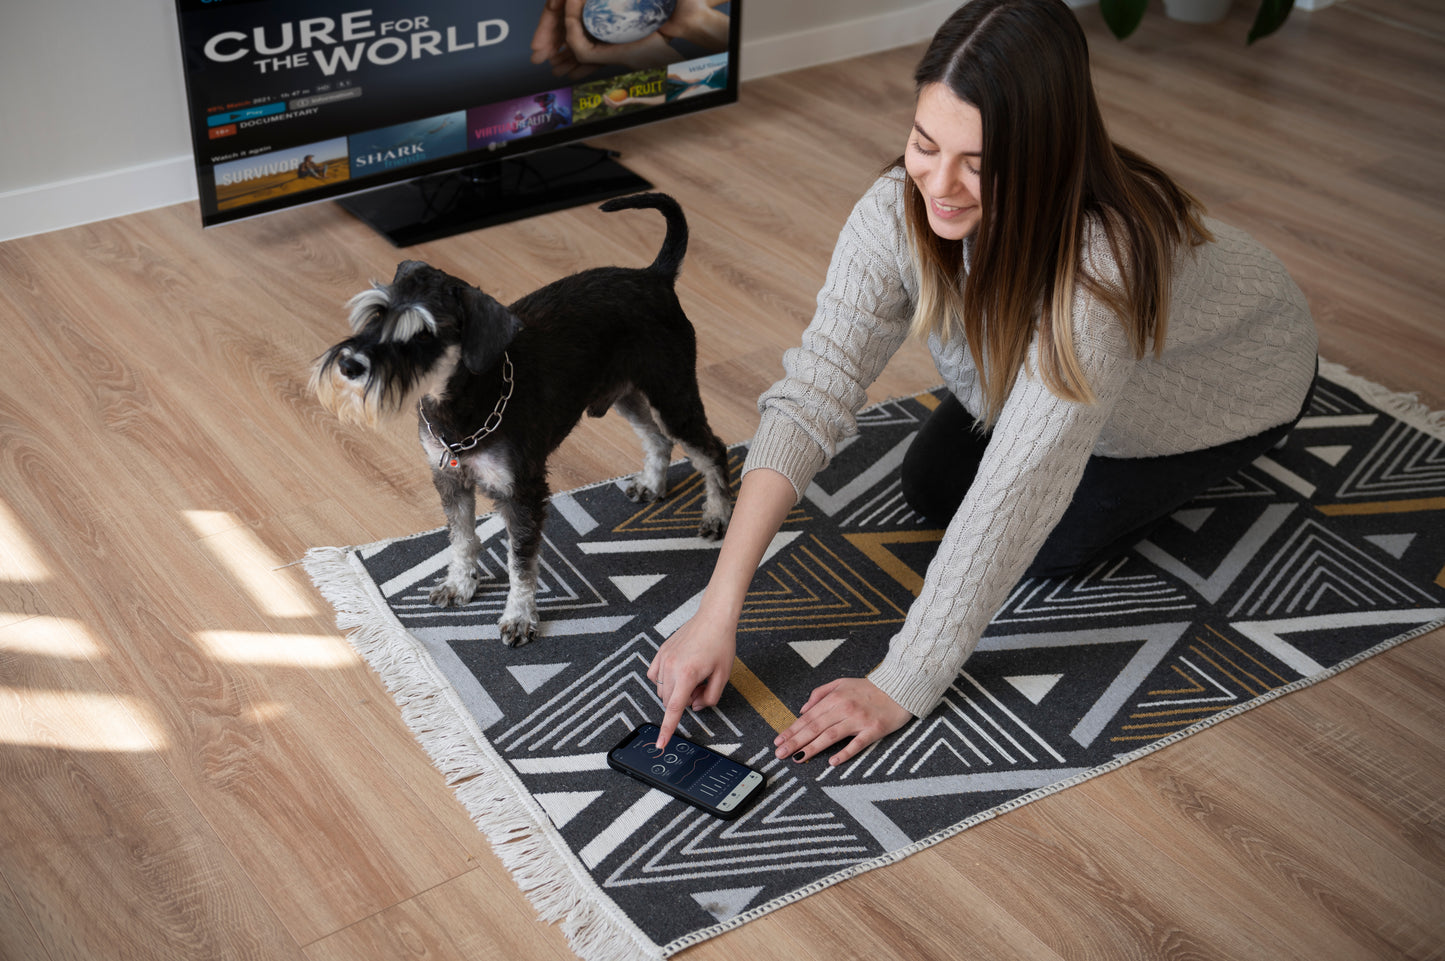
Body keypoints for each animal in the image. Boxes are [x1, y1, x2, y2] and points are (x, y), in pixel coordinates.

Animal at [313, 193, 734, 644]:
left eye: (424, 334)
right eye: (376, 314)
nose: (350, 365)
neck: (461, 404)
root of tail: (654, 277)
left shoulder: (523, 495)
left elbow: (521, 561)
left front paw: (519, 617)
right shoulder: (448, 479)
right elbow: (461, 537)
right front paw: (459, 584)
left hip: (671, 396)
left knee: (711, 449)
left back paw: (717, 515)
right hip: (627, 395)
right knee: (657, 438)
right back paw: (653, 484)